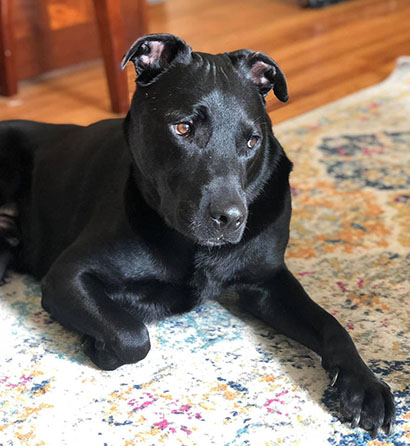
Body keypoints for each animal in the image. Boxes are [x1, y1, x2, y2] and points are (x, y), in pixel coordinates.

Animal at [0, 34, 394, 436]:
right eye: (183, 129)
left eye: (252, 141)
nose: (231, 218)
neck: (193, 246)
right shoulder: (68, 275)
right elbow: (133, 336)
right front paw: (99, 344)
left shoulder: (267, 283)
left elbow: (332, 324)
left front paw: (365, 386)